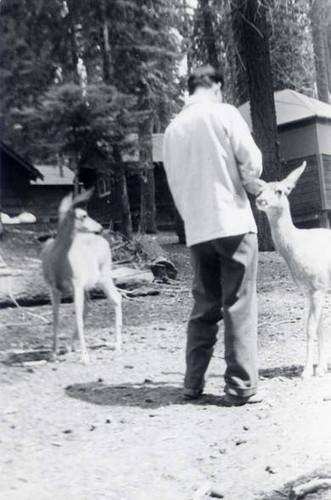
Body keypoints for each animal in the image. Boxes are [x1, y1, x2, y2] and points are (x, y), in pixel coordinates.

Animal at [42, 188, 122, 364]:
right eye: (84, 215)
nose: (100, 227)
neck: (59, 260)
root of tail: (104, 242)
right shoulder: (54, 288)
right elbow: (56, 318)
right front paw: (52, 353)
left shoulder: (76, 284)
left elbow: (77, 317)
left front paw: (85, 356)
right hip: (88, 285)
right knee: (88, 306)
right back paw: (68, 346)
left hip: (104, 277)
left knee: (116, 298)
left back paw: (117, 344)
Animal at [256, 161, 331, 378]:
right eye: (260, 189)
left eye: (280, 190)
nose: (260, 200)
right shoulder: (310, 290)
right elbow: (320, 327)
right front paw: (320, 369)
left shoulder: (318, 287)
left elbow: (310, 329)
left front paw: (306, 372)